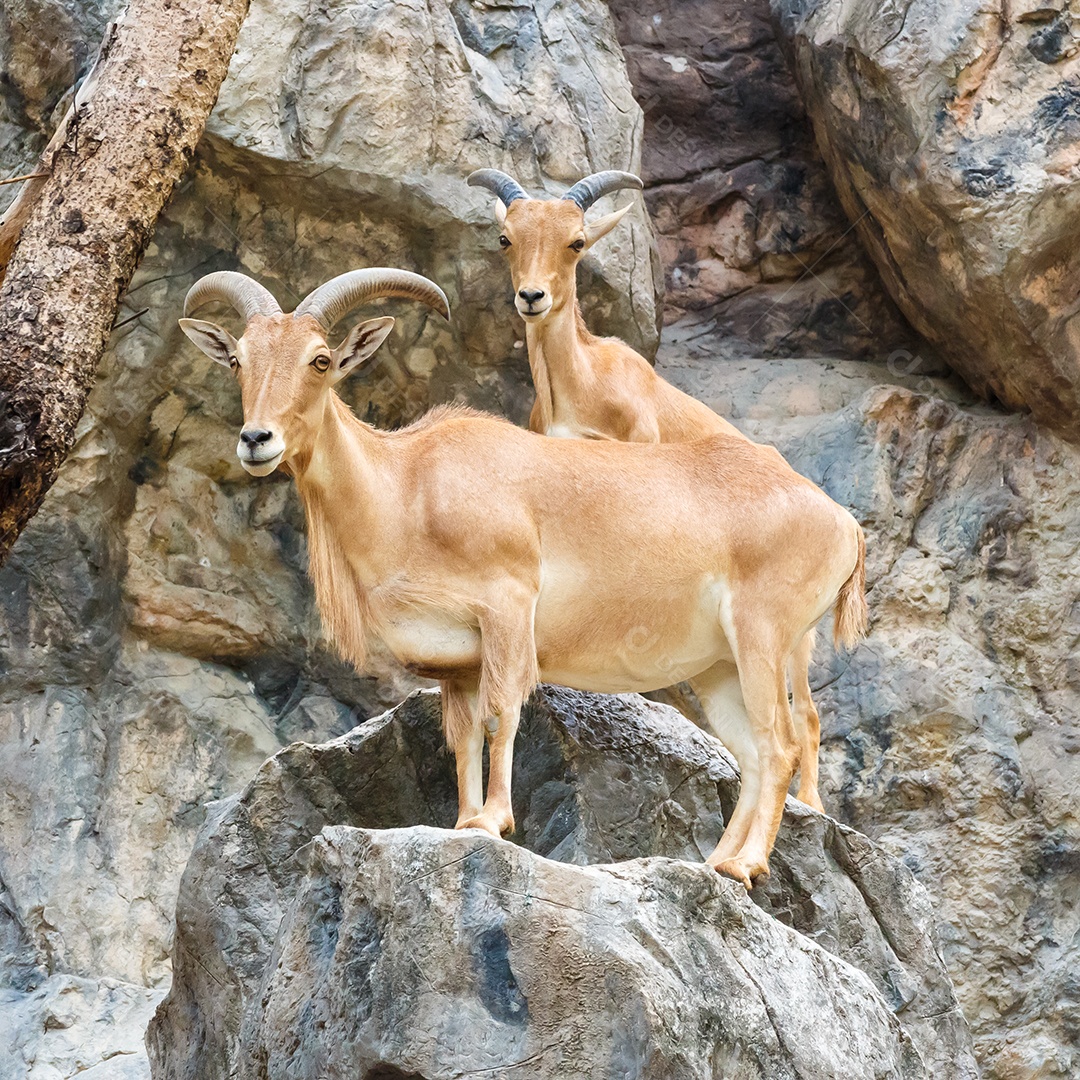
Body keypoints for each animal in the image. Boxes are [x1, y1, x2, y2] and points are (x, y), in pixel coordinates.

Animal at [179, 269, 867, 887]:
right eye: (238, 359)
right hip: (719, 665)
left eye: (320, 360)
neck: (408, 487)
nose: (256, 439)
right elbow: (461, 736)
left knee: (781, 744)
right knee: (750, 751)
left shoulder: (508, 608)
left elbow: (502, 713)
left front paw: (494, 822)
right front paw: (462, 821)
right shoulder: (455, 661)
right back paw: (718, 864)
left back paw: (746, 865)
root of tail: (842, 522)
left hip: (762, 636)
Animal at [469, 168, 837, 813]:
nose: (532, 298)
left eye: (576, 243)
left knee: (807, 715)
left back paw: (812, 805)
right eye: (506, 238)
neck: (585, 385)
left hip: (790, 635)